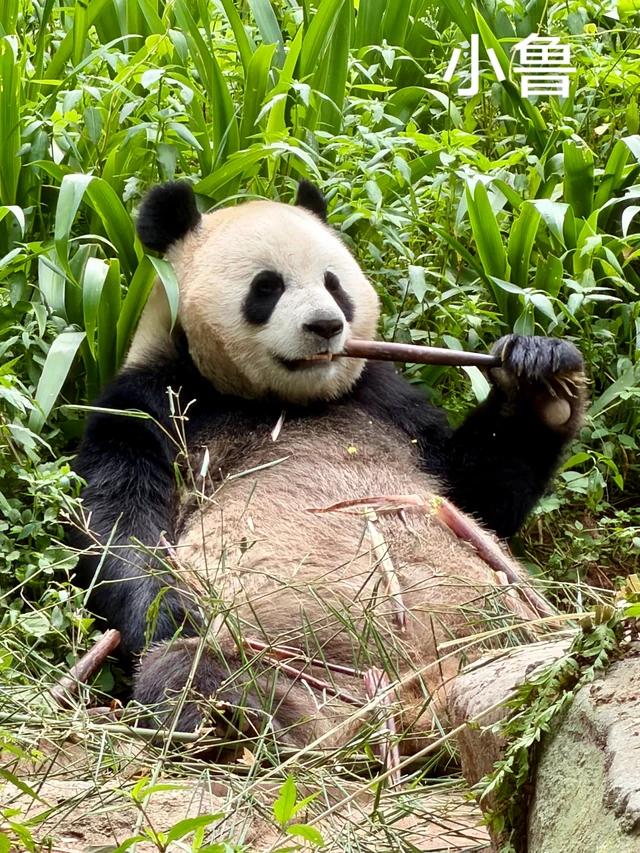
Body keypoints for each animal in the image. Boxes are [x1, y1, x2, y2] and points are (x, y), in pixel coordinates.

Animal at [71, 179, 586, 752]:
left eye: (334, 284)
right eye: (267, 287)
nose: (326, 325)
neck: (281, 401)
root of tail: (420, 699)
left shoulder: (386, 399)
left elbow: (479, 496)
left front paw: (539, 378)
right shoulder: (151, 402)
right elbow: (116, 521)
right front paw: (170, 610)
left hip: (509, 635)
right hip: (305, 669)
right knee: (191, 673)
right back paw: (236, 718)